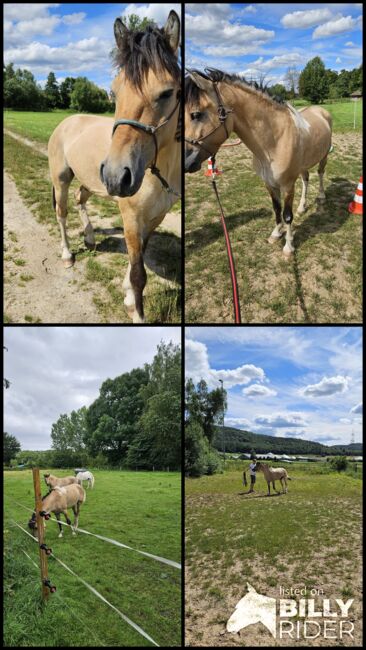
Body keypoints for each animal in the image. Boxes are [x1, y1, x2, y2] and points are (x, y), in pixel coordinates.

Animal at [48, 10, 181, 322]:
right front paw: (137, 312)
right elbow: (139, 275)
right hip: (61, 179)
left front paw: (128, 297)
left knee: (80, 199)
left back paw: (90, 239)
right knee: (62, 213)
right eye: (115, 91)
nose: (116, 175)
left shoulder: (154, 218)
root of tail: (67, 122)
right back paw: (67, 255)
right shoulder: (131, 217)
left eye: (167, 92)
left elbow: (138, 259)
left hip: (88, 181)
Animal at [184, 67, 334, 256]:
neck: (275, 141)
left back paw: (321, 197)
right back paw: (302, 207)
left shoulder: (287, 185)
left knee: (320, 174)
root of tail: (321, 111)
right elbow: (277, 209)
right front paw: (276, 234)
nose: (185, 161)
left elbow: (287, 215)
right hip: (303, 166)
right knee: (306, 179)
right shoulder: (269, 183)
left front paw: (288, 247)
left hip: (323, 156)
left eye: (196, 114)